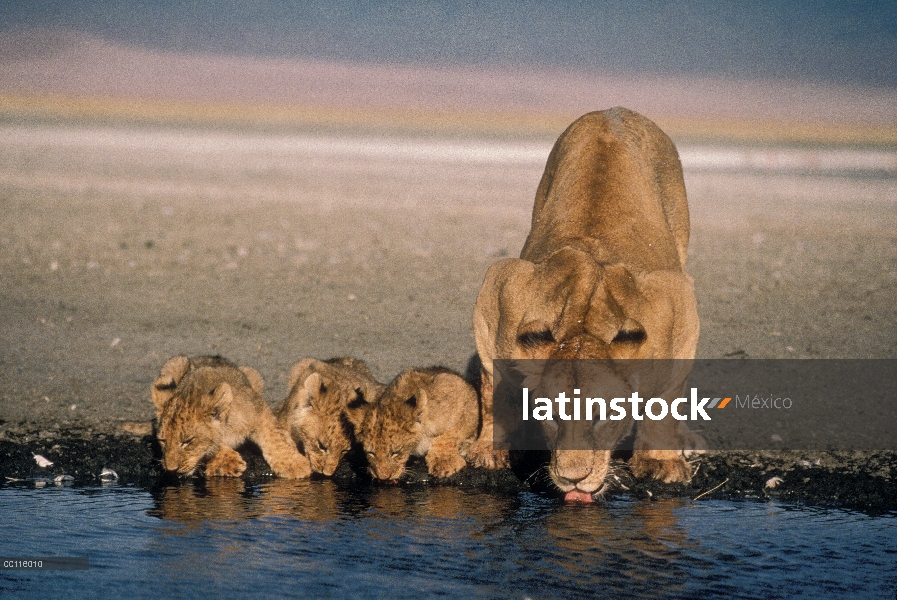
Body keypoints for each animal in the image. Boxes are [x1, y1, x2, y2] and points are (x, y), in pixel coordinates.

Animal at [468, 108, 700, 502]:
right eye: (550, 417)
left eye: (603, 417)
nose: (573, 478)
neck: (583, 323)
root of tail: (613, 111)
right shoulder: (501, 290)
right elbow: (492, 387)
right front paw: (489, 450)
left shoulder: (677, 298)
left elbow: (666, 397)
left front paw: (660, 461)